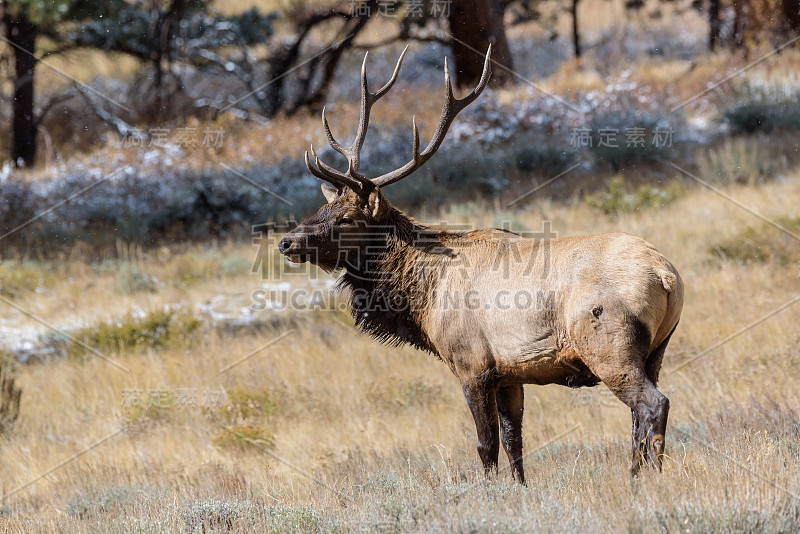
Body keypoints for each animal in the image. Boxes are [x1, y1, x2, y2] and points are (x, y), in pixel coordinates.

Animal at [278, 47, 684, 486]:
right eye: (322, 208)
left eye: (347, 218)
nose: (287, 241)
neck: (423, 299)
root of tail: (667, 277)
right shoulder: (510, 373)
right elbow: (514, 441)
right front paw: (520, 488)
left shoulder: (471, 364)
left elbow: (485, 445)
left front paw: (488, 491)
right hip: (656, 350)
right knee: (638, 417)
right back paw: (635, 475)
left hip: (610, 346)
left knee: (653, 405)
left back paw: (648, 477)